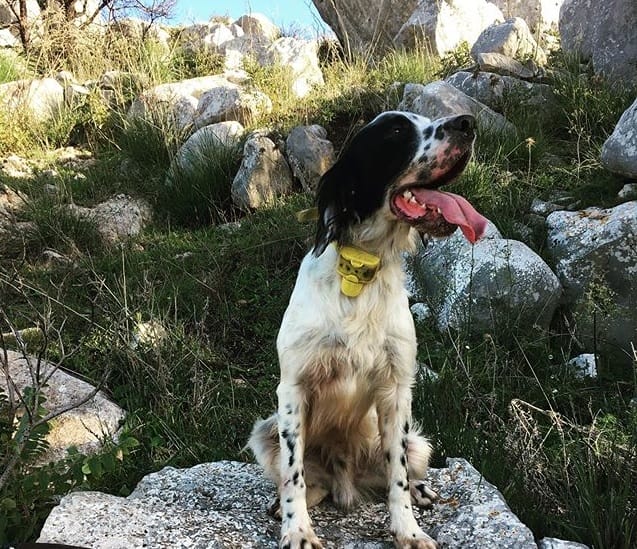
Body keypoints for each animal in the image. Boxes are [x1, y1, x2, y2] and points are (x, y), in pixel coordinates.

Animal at [248, 110, 488, 549]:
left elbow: (397, 478)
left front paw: (408, 530)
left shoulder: (396, 390)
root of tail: (347, 480)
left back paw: (420, 491)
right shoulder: (292, 388)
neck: (361, 269)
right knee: (308, 482)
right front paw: (298, 529)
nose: (467, 122)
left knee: (399, 473)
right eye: (395, 131)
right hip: (265, 432)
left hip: (419, 442)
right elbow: (294, 476)